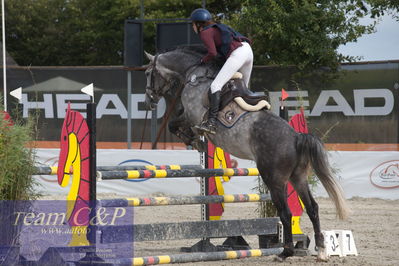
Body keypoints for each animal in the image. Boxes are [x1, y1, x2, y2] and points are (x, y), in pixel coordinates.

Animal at [145, 45, 350, 260]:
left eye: (148, 73)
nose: (149, 101)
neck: (195, 74)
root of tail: (296, 137)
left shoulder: (192, 115)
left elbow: (174, 124)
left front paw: (194, 140)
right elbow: (176, 123)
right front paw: (195, 141)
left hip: (274, 179)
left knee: (286, 213)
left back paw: (285, 252)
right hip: (298, 177)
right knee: (312, 208)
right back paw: (321, 251)